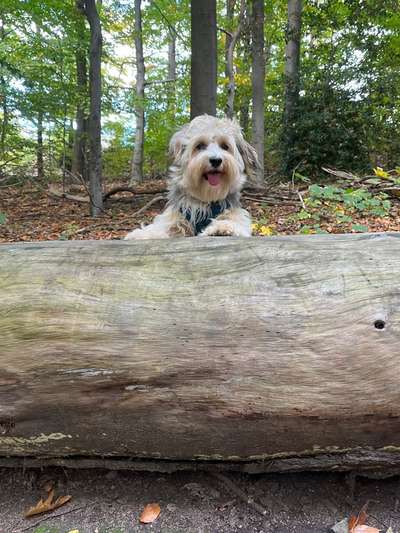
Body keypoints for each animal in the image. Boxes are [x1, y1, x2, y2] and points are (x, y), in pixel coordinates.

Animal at [123, 115, 260, 239]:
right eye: (200, 146)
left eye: (225, 146)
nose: (216, 160)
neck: (205, 198)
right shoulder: (176, 217)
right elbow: (163, 227)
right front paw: (142, 234)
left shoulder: (234, 212)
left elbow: (232, 221)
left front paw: (222, 227)